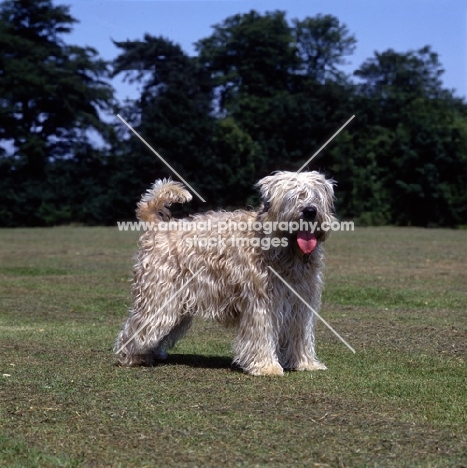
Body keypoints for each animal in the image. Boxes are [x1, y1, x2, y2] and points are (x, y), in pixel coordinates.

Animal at [115, 172, 338, 376]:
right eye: (292, 196)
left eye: (316, 196)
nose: (310, 211)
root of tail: (157, 227)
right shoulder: (262, 303)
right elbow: (262, 334)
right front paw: (266, 366)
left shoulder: (300, 302)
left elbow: (300, 335)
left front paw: (305, 363)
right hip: (158, 297)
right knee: (137, 328)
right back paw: (132, 357)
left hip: (176, 306)